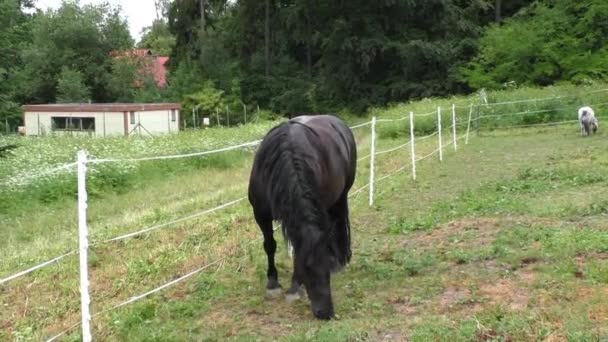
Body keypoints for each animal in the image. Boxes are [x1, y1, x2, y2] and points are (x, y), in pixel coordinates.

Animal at [247, 113, 356, 320]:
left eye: (325, 270)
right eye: (308, 267)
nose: (326, 313)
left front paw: (294, 288)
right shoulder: (261, 214)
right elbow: (269, 245)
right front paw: (273, 283)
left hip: (340, 196)